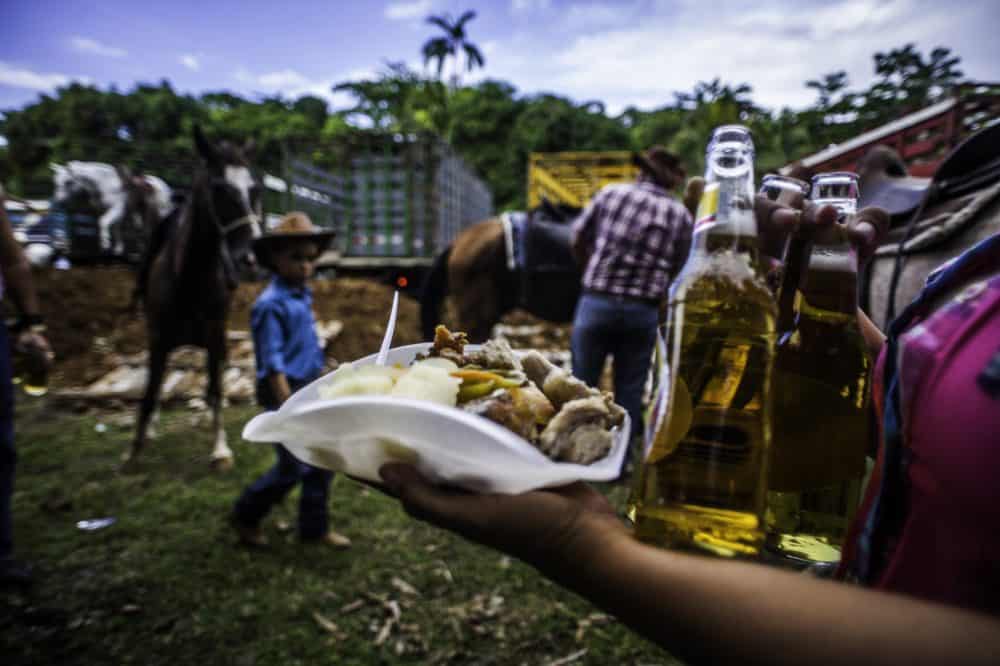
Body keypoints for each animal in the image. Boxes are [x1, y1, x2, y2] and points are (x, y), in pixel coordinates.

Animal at [124, 124, 264, 466]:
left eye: (254, 189)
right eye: (220, 189)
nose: (252, 257)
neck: (188, 276)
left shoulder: (214, 333)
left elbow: (214, 386)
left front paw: (220, 448)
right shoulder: (158, 337)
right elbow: (150, 391)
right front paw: (135, 448)